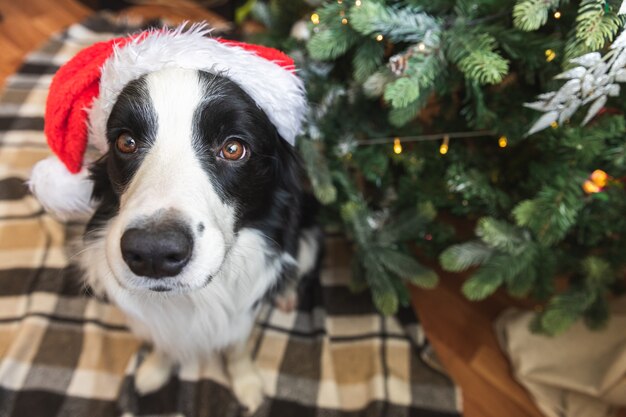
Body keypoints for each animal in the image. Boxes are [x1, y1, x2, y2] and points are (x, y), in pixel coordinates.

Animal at [29, 27, 320, 412]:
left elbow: (238, 345)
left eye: (233, 148)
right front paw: (155, 370)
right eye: (126, 141)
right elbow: (164, 341)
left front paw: (247, 384)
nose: (153, 253)